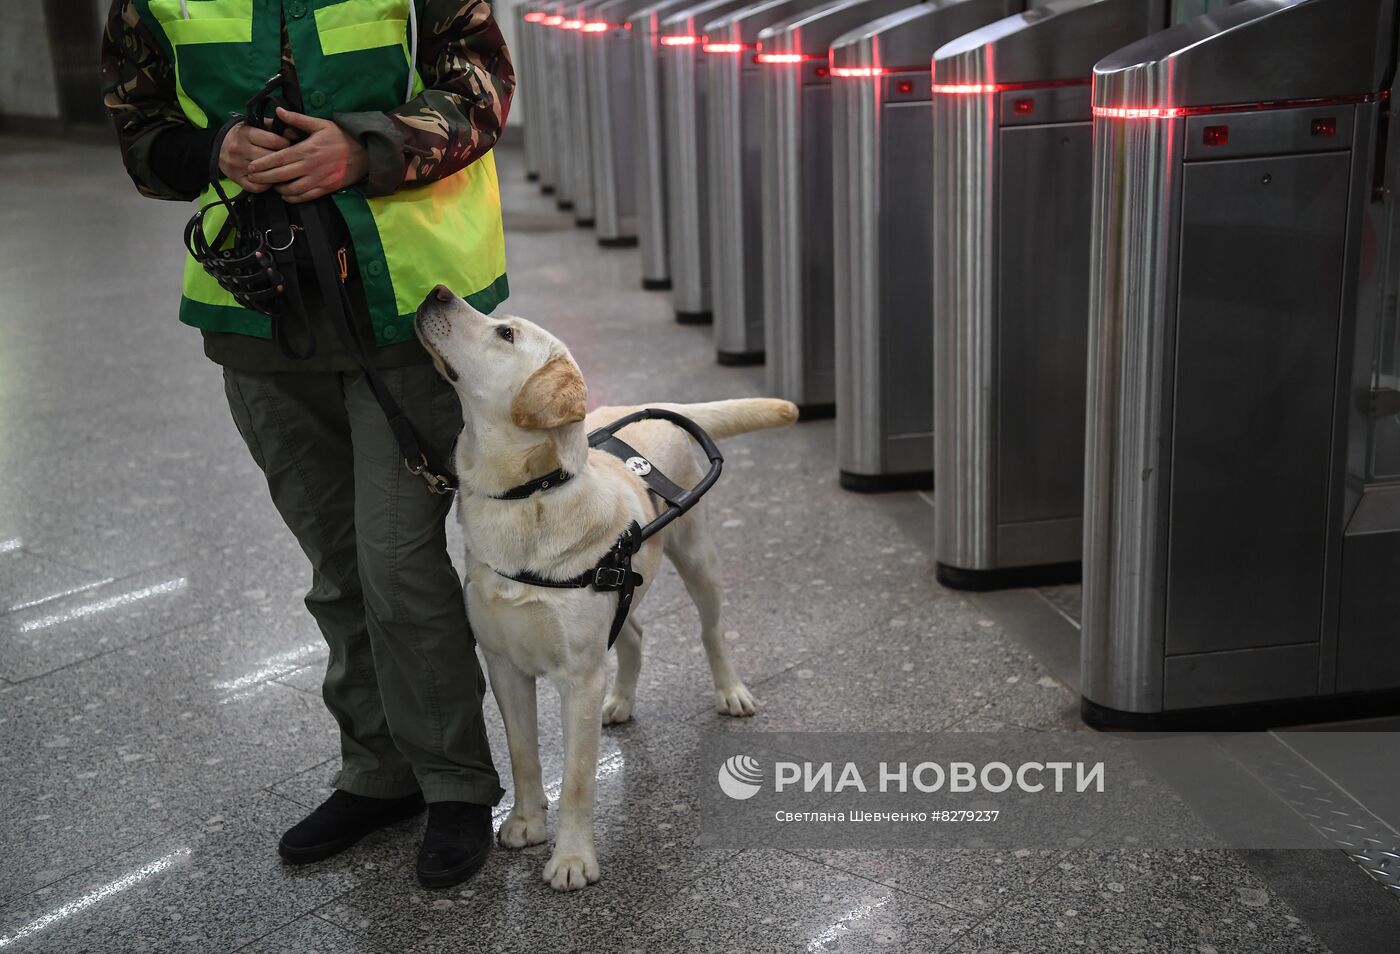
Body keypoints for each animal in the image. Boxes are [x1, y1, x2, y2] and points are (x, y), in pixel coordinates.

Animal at [411, 287, 800, 890]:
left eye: (505, 334)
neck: (527, 496)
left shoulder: (578, 678)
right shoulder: (503, 663)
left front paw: (572, 859)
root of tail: (656, 405)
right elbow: (523, 753)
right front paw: (526, 822)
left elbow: (577, 777)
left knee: (712, 629)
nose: (436, 292)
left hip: (698, 557)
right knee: (634, 633)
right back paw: (620, 700)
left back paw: (730, 690)